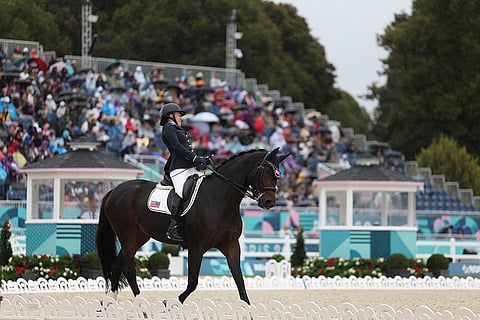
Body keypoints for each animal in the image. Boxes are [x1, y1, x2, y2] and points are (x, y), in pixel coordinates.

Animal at [95, 147, 286, 302]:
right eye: (265, 172)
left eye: (277, 174)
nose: (269, 202)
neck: (221, 199)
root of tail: (114, 190)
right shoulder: (197, 246)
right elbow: (193, 282)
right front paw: (170, 303)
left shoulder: (231, 245)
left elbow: (239, 279)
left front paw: (247, 307)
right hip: (127, 233)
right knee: (128, 268)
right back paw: (141, 303)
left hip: (140, 236)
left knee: (117, 264)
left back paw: (111, 302)